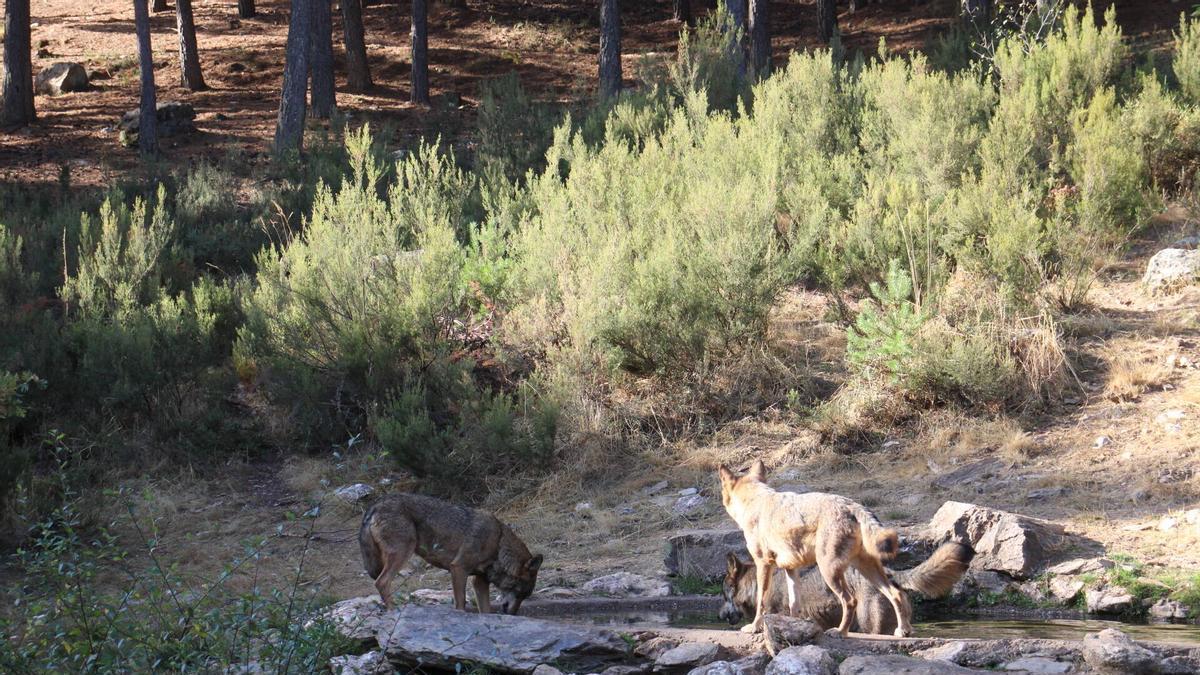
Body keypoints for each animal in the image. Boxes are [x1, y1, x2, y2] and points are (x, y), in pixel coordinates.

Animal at [358, 493, 543, 615]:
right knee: (381, 582)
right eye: (520, 593)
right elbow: (460, 603)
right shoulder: (458, 568)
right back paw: (393, 611)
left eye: (524, 596)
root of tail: (375, 505)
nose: (513, 614)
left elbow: (486, 610)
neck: (498, 542)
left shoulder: (479, 582)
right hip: (402, 553)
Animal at [718, 460, 911, 636]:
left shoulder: (763, 564)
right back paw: (903, 631)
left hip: (829, 571)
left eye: (725, 593)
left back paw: (840, 632)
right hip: (865, 569)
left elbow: (761, 602)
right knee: (896, 594)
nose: (720, 617)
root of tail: (853, 506)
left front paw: (755, 627)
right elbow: (794, 604)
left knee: (850, 601)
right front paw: (792, 627)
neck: (755, 501)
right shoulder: (790, 569)